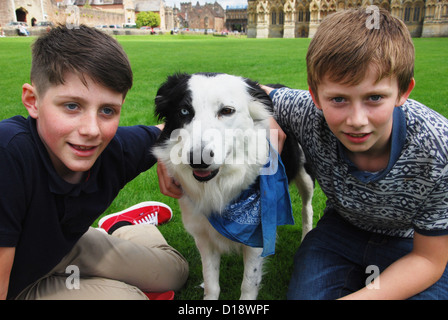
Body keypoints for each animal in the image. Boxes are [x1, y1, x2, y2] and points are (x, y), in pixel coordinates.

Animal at [152, 73, 314, 300]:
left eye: (226, 111)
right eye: (183, 111)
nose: (198, 159)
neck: (219, 186)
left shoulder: (257, 236)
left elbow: (248, 284)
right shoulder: (203, 235)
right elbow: (212, 282)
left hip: (305, 175)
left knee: (307, 206)